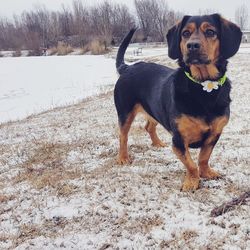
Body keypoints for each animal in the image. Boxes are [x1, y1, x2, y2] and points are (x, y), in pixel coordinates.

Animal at [114, 14, 242, 191]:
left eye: (210, 32)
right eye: (185, 33)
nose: (192, 46)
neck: (203, 86)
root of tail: (127, 68)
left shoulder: (214, 135)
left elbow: (204, 157)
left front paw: (206, 173)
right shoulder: (179, 141)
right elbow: (191, 164)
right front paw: (192, 181)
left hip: (155, 110)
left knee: (149, 127)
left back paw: (157, 143)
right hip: (125, 113)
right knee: (123, 136)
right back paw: (123, 157)